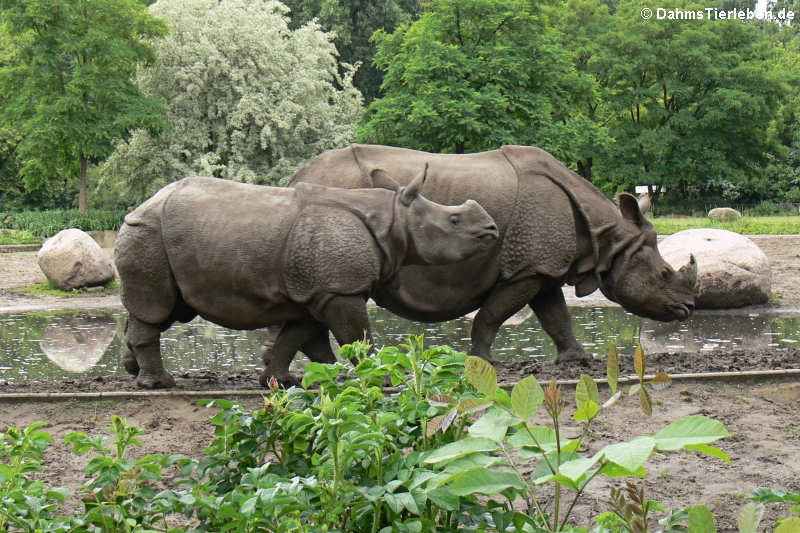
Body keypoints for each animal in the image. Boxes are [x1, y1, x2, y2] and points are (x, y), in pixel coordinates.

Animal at [115, 166, 498, 388]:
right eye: (454, 221)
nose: (492, 228)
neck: (394, 218)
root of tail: (139, 207)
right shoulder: (340, 289)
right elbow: (356, 336)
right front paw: (381, 377)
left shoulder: (318, 290)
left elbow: (297, 337)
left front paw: (290, 379)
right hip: (148, 234)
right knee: (157, 308)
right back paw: (160, 384)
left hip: (157, 236)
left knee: (164, 309)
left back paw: (135, 371)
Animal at [289, 144, 698, 363]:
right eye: (664, 274)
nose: (688, 308)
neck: (608, 236)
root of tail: (296, 176)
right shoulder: (526, 269)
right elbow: (492, 316)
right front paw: (483, 361)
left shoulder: (542, 267)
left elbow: (556, 316)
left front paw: (579, 360)